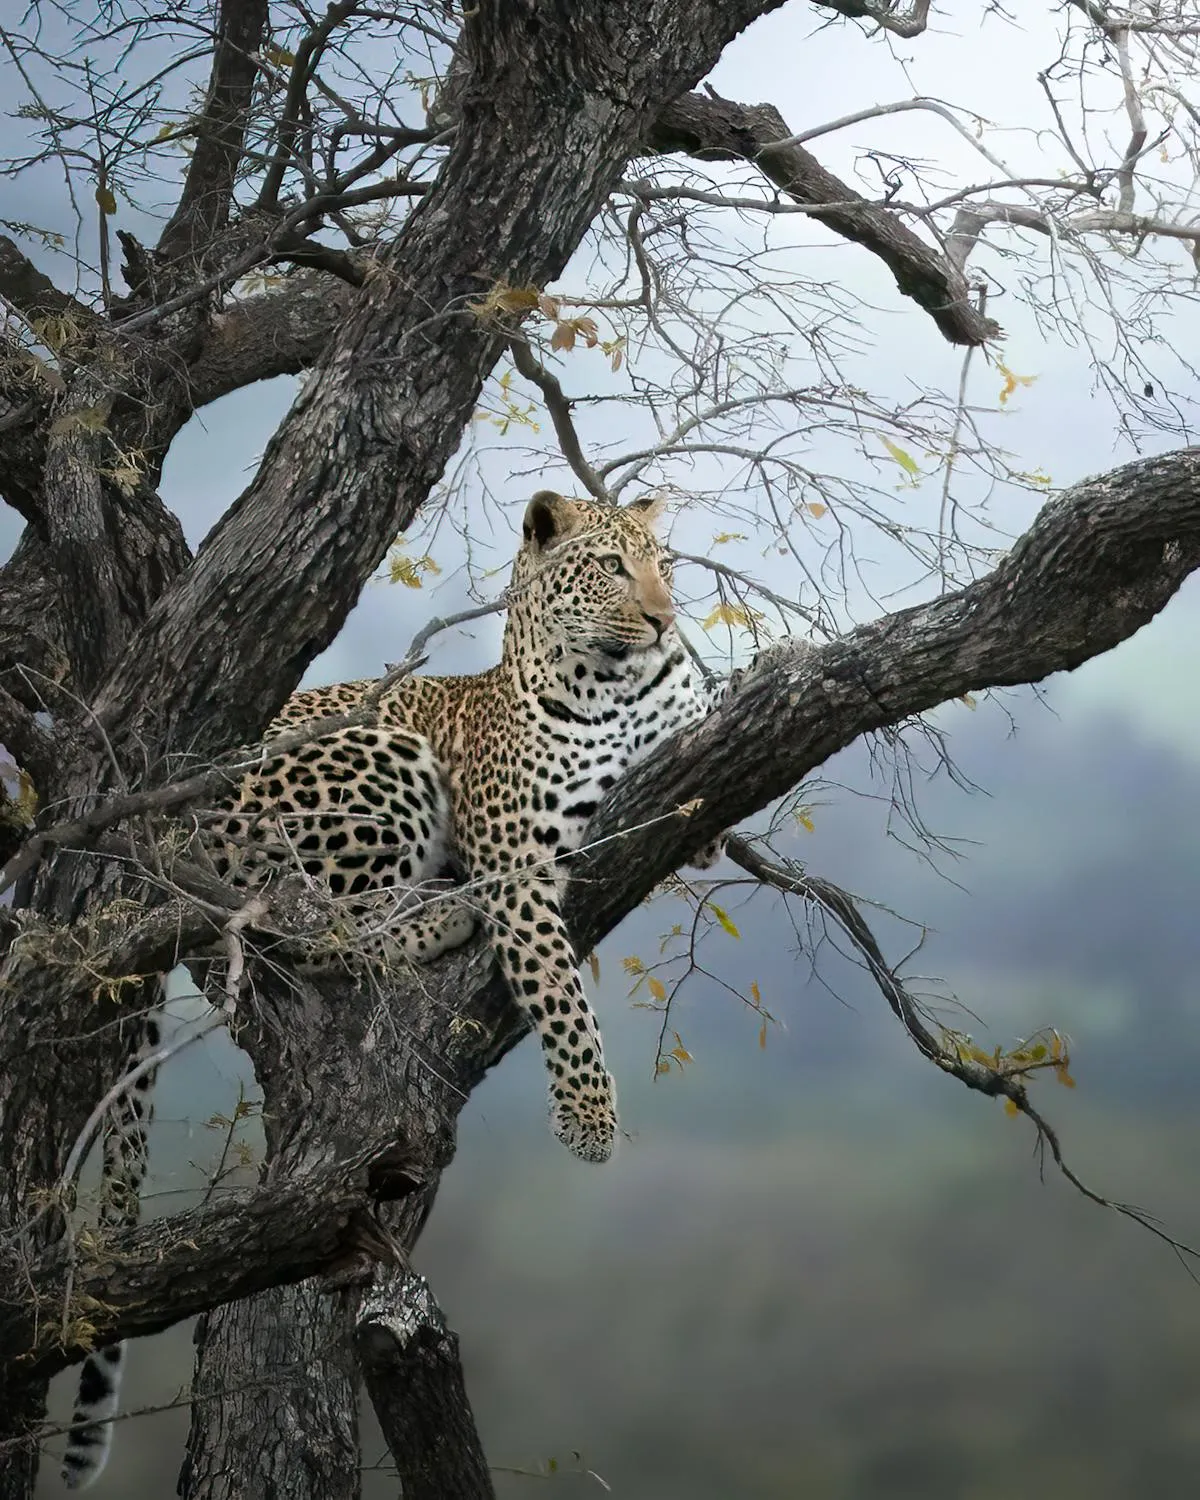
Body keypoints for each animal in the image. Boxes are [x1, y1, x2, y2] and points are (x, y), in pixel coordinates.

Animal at [62, 489, 736, 1488]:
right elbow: (555, 989)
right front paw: (589, 1121)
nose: (663, 619)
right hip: (381, 758)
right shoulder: (518, 859)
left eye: (665, 564)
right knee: (312, 926)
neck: (619, 683)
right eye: (612, 568)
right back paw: (437, 914)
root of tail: (173, 811)